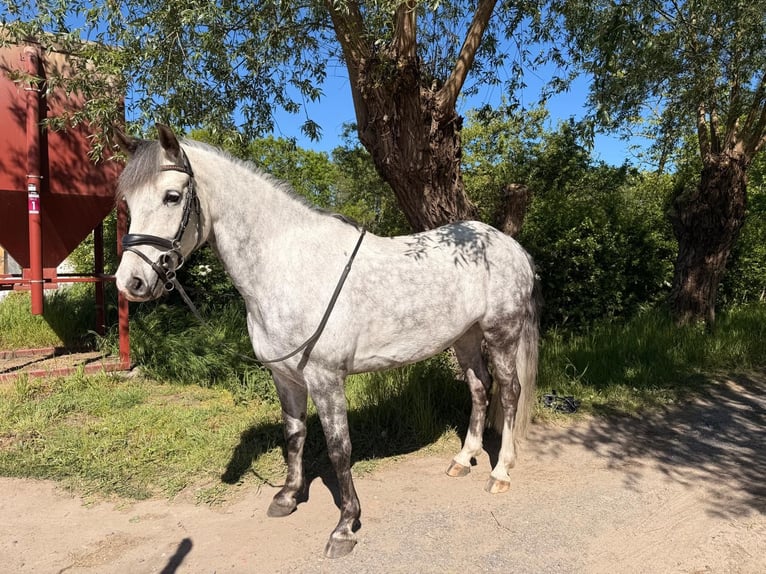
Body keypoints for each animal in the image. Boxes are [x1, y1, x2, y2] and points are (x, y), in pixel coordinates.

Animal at [113, 124, 540, 558]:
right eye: (127, 200)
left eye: (172, 196)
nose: (131, 282)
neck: (288, 265)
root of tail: (510, 245)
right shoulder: (285, 377)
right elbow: (294, 435)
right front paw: (287, 497)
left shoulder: (325, 379)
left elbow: (339, 448)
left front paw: (345, 526)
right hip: (466, 338)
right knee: (479, 388)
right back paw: (464, 458)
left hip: (501, 334)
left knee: (509, 393)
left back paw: (500, 472)